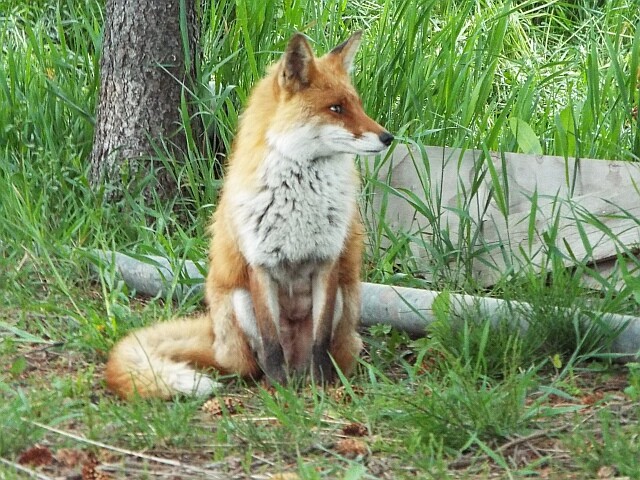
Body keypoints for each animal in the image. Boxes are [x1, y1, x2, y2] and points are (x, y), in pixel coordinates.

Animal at [105, 31, 393, 400]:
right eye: (336, 108)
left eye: (357, 105)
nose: (388, 137)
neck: (299, 197)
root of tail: (215, 335)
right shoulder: (260, 264)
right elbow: (271, 346)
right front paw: (279, 392)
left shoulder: (326, 263)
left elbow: (319, 343)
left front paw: (319, 390)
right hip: (239, 303)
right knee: (254, 363)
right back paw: (271, 380)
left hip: (345, 301)